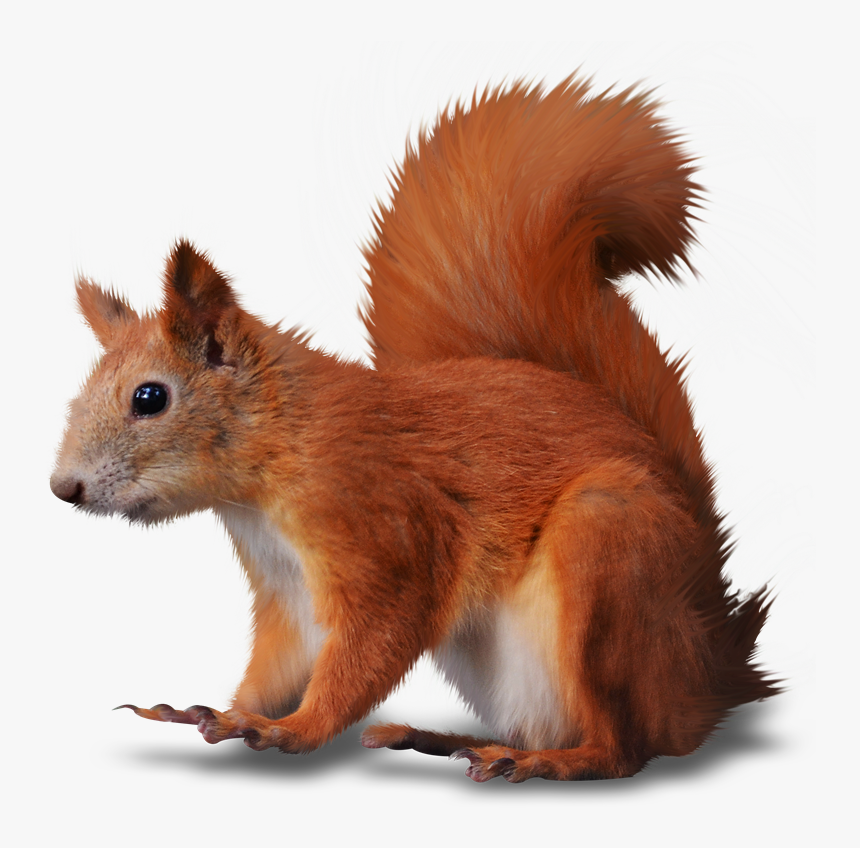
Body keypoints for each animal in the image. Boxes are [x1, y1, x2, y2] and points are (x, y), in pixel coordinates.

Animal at [50, 76, 778, 782]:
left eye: (150, 398)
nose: (64, 489)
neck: (277, 453)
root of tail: (709, 673)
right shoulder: (285, 587)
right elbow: (279, 661)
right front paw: (229, 712)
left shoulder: (384, 530)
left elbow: (374, 640)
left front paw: (291, 729)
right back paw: (440, 739)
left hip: (608, 554)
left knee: (625, 748)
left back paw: (541, 761)